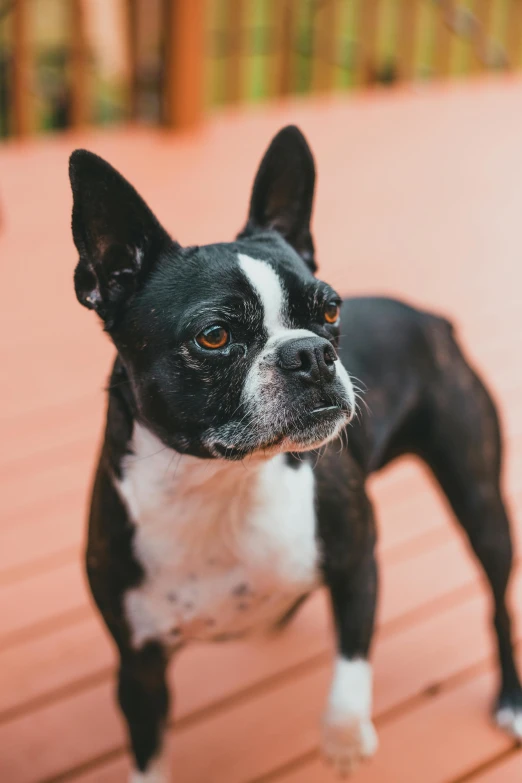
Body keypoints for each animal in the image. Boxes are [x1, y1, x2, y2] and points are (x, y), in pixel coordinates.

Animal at [69, 125, 520, 780]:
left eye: (329, 310)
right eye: (214, 337)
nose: (311, 352)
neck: (223, 484)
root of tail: (430, 317)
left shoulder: (359, 561)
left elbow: (351, 670)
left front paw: (345, 743)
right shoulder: (139, 666)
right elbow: (148, 758)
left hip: (479, 498)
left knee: (499, 602)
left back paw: (510, 697)